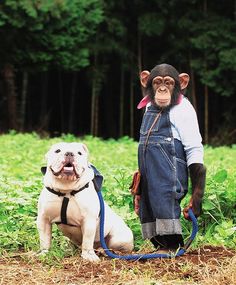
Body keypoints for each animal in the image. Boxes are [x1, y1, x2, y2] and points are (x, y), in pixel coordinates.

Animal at [135, 62, 206, 251]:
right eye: (157, 82)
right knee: (147, 215)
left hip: (169, 182)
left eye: (169, 82)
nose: (162, 89)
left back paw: (173, 247)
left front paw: (194, 206)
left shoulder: (187, 113)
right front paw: (136, 199)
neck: (161, 110)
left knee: (164, 208)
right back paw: (161, 247)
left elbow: (193, 148)